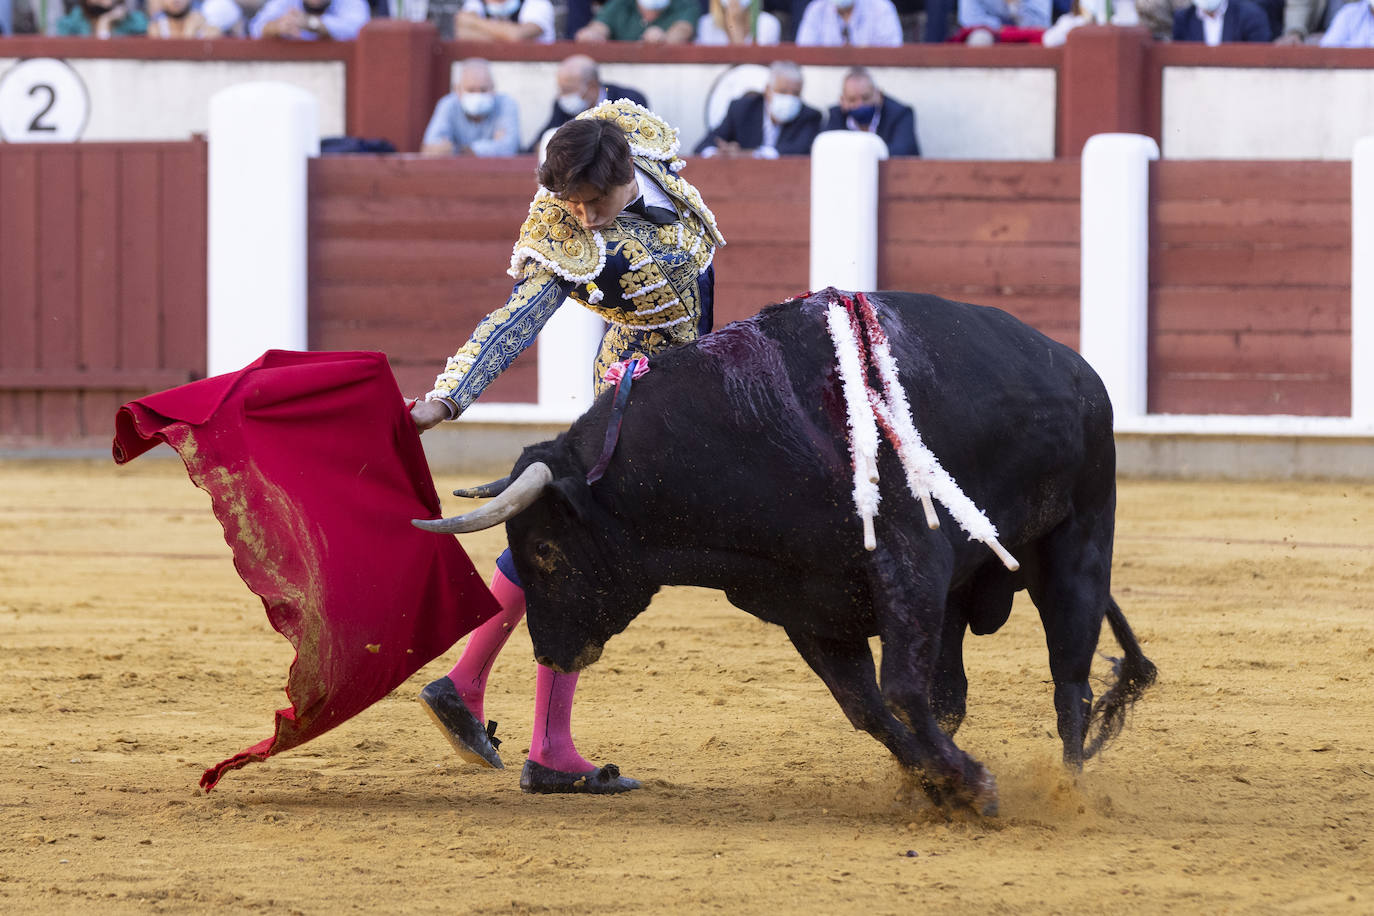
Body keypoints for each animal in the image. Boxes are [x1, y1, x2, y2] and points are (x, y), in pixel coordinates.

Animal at [414, 289, 1159, 813]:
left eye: (545, 548)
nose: (552, 652)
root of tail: (1076, 367)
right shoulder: (807, 605)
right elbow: (871, 707)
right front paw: (939, 785)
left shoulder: (910, 567)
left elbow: (900, 691)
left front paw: (973, 786)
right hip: (964, 600)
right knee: (956, 692)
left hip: (1078, 542)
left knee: (1070, 680)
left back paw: (1068, 791)